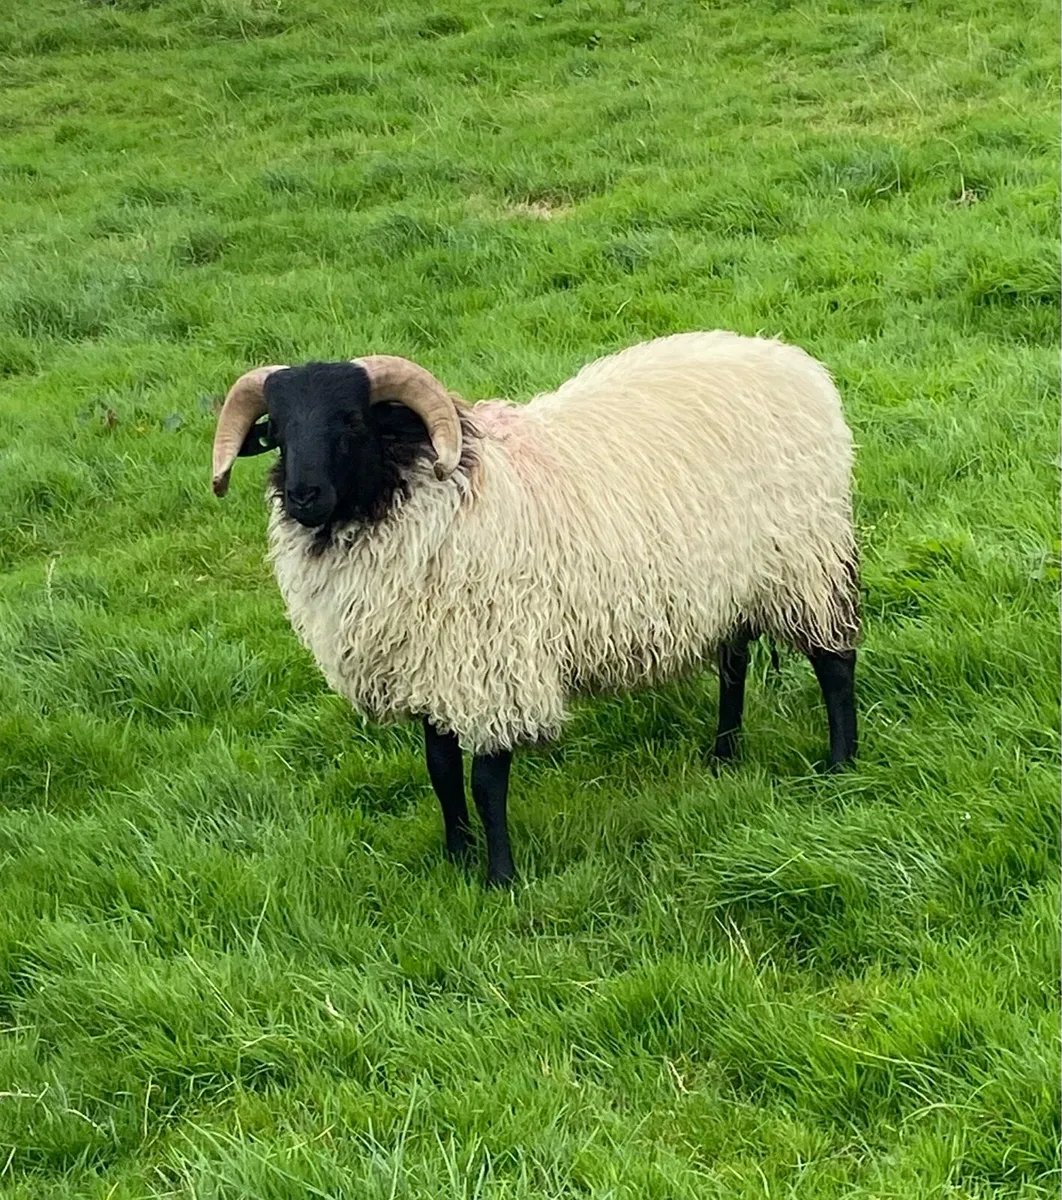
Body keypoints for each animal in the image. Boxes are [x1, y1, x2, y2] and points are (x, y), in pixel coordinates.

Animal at [211, 332, 860, 886]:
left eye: (351, 420)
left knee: (834, 661)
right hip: (731, 581)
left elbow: (485, 780)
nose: (304, 497)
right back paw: (724, 754)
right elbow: (440, 771)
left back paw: (840, 764)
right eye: (278, 431)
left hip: (806, 558)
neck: (434, 498)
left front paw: (499, 877)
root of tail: (792, 361)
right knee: (734, 662)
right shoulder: (429, 662)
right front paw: (456, 855)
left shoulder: (494, 662)